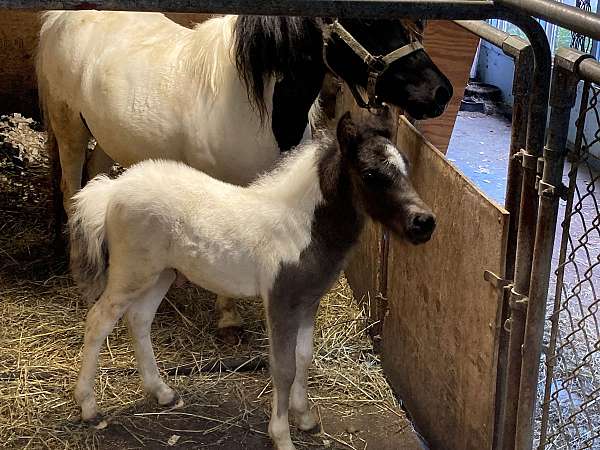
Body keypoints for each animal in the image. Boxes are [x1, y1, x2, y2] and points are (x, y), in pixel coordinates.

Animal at [69, 110, 436, 450]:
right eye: (371, 174)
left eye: (406, 167)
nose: (424, 223)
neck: (299, 227)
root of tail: (114, 188)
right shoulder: (280, 301)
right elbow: (283, 368)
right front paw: (282, 436)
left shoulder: (308, 302)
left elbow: (304, 357)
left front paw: (305, 418)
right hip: (131, 272)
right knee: (99, 320)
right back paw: (89, 408)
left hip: (162, 273)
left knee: (139, 319)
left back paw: (162, 392)